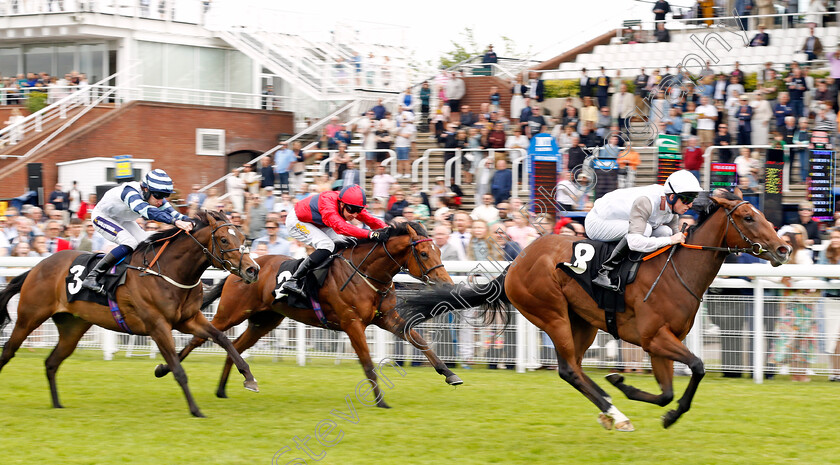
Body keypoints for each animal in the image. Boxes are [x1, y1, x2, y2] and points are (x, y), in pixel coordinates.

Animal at [0, 210, 260, 416]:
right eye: (224, 239)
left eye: (243, 238)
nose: (253, 269)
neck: (168, 272)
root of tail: (37, 266)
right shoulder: (157, 326)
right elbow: (178, 369)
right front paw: (195, 410)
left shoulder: (188, 319)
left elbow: (223, 338)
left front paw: (249, 377)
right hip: (29, 317)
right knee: (8, 350)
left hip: (72, 327)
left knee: (52, 362)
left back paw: (57, 405)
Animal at [158, 221, 460, 406]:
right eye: (423, 253)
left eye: (438, 249)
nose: (447, 283)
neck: (366, 273)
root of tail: (242, 267)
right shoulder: (352, 323)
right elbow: (367, 363)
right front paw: (380, 400)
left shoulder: (387, 319)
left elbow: (420, 341)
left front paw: (449, 374)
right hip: (231, 313)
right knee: (204, 337)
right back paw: (163, 368)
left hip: (264, 321)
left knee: (236, 345)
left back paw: (227, 387)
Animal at [398, 190, 792, 430]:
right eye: (748, 217)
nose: (784, 248)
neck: (678, 271)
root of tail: (516, 262)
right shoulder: (655, 337)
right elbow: (696, 366)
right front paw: (658, 408)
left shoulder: (658, 343)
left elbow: (666, 390)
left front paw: (630, 388)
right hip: (552, 313)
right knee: (569, 370)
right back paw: (615, 413)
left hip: (583, 322)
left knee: (573, 368)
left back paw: (610, 406)